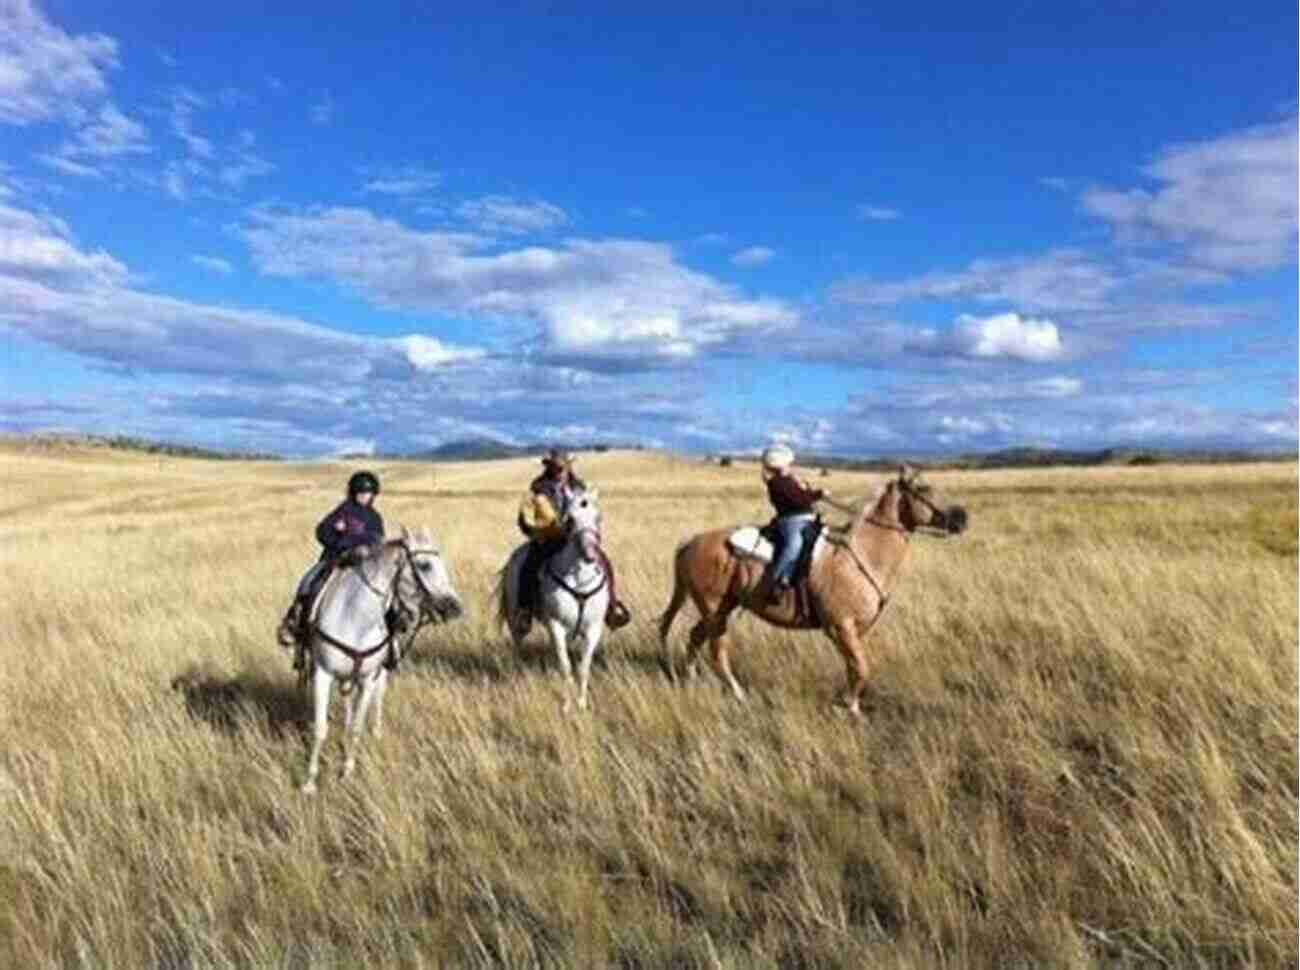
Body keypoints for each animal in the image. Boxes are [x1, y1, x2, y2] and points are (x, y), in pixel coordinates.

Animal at [299, 525, 462, 790]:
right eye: (425, 565)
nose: (456, 607)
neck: (355, 616)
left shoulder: (367, 678)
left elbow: (357, 727)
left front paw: (346, 772)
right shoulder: (323, 673)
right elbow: (321, 728)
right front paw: (309, 782)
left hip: (379, 673)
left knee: (376, 701)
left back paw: (375, 734)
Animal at [501, 486, 613, 707]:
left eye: (599, 518)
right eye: (569, 520)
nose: (590, 555)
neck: (579, 579)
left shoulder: (593, 629)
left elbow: (583, 667)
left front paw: (581, 704)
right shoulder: (556, 625)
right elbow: (565, 666)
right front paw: (567, 705)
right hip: (517, 619)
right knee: (518, 644)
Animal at [660, 465, 967, 712]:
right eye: (922, 487)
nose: (962, 517)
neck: (861, 553)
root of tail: (691, 542)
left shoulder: (854, 631)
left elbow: (855, 668)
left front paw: (851, 705)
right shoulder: (840, 627)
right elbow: (861, 668)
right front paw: (848, 707)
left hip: (722, 610)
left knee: (695, 637)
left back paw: (691, 680)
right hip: (715, 611)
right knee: (716, 652)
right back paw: (737, 694)